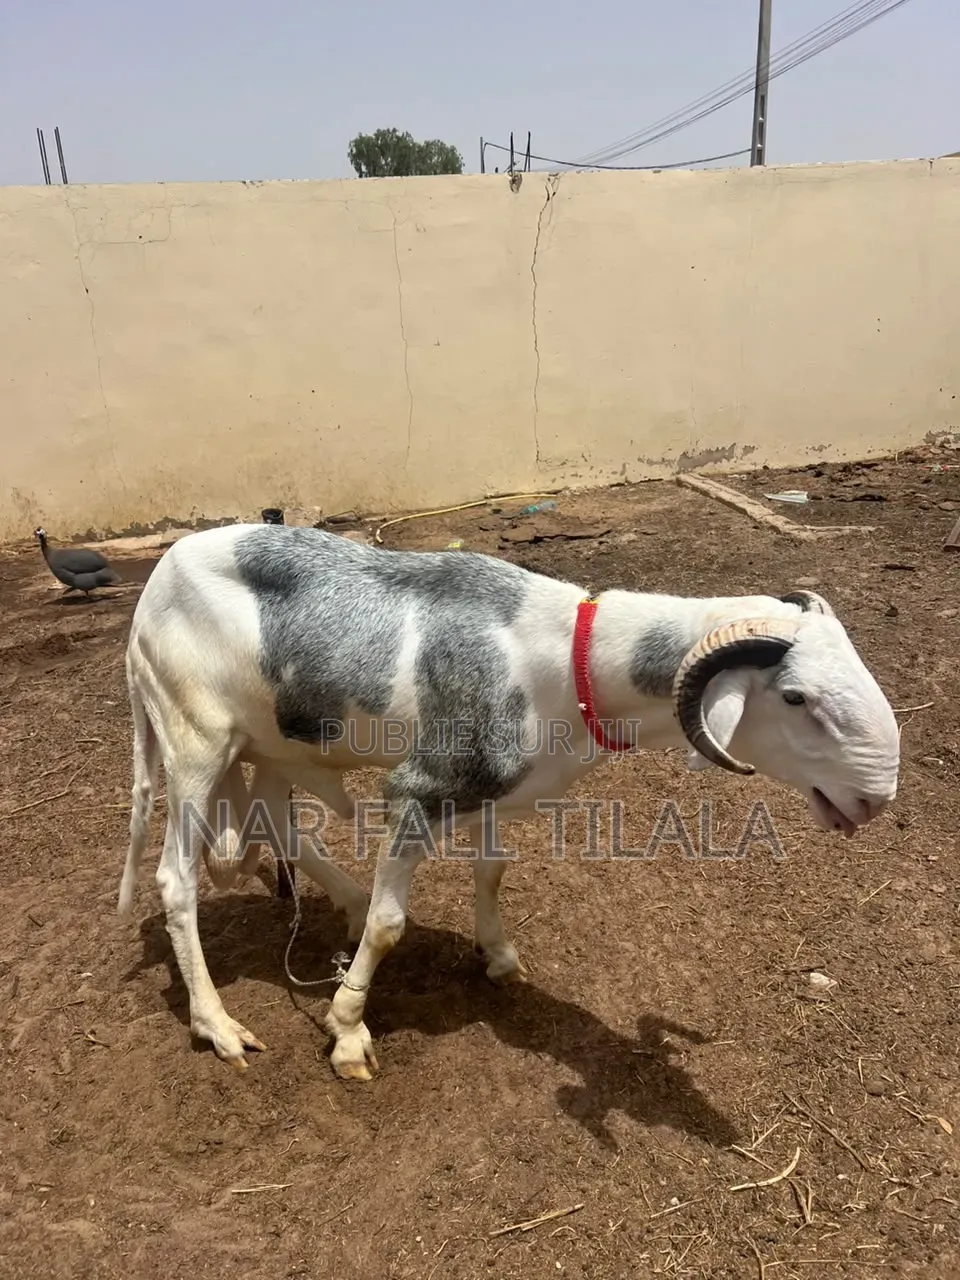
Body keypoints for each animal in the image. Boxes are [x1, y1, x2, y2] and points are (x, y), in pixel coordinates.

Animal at [117, 523, 900, 1079]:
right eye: (795, 698)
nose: (875, 797)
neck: (567, 661)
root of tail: (155, 585)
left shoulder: (499, 795)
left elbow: (491, 873)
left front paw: (496, 956)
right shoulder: (417, 791)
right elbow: (392, 925)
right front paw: (348, 1033)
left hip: (275, 745)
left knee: (276, 823)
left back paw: (344, 902)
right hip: (195, 741)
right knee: (176, 880)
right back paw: (218, 1025)